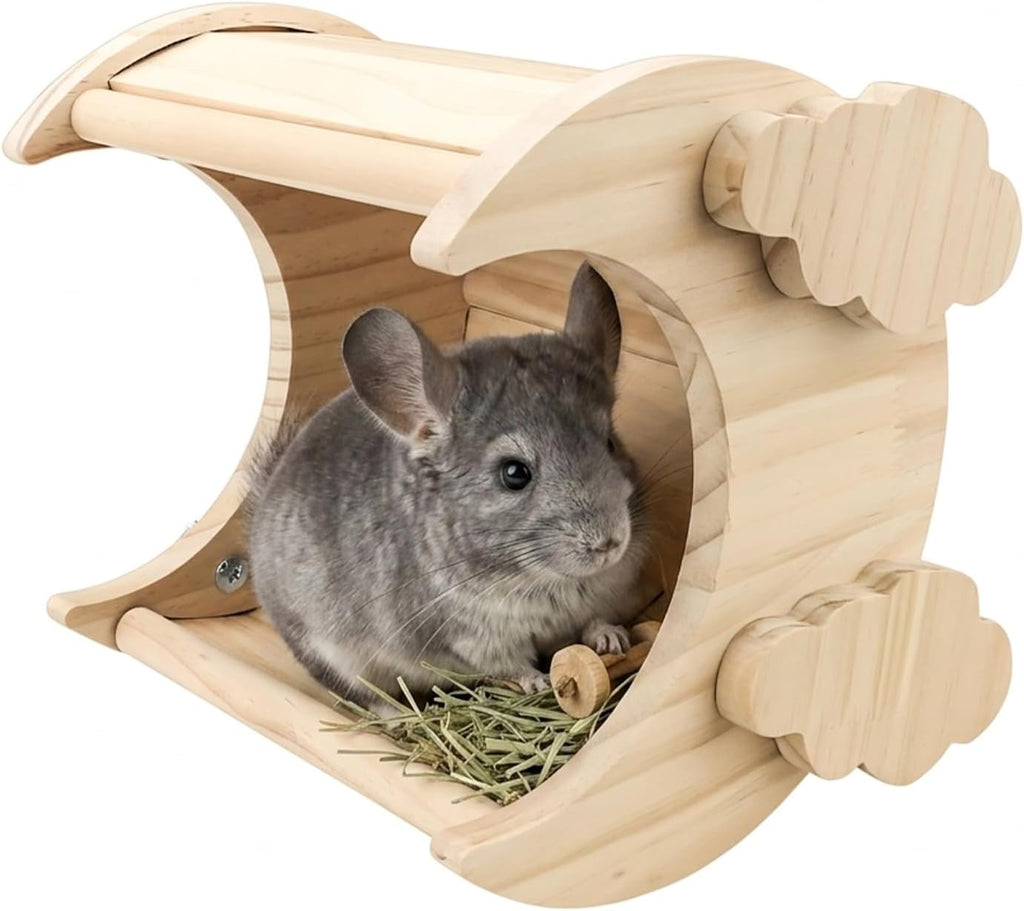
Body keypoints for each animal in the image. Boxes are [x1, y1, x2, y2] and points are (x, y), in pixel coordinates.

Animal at [248, 263, 649, 710]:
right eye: (514, 473)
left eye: (610, 442)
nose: (609, 543)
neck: (545, 580)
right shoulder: (467, 637)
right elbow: (509, 665)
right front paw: (536, 682)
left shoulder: (601, 598)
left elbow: (595, 621)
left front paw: (611, 638)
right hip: (326, 653)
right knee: (361, 695)